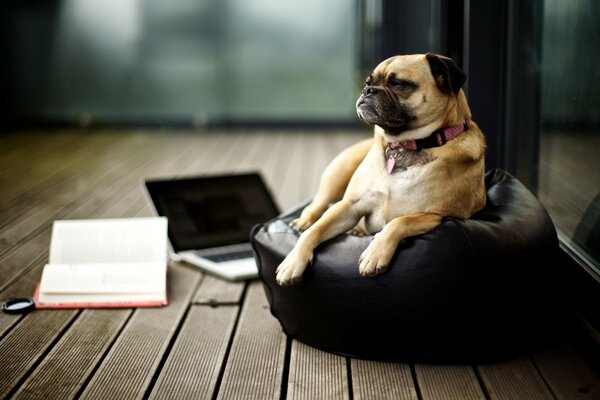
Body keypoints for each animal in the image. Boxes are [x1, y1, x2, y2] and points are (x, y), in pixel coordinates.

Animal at [276, 53, 488, 286]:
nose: (368, 90)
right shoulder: (349, 206)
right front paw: (292, 262)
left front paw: (375, 254)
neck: (406, 145)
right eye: (367, 82)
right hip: (337, 176)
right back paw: (303, 221)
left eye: (397, 84)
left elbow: (398, 222)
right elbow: (315, 230)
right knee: (317, 205)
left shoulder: (435, 216)